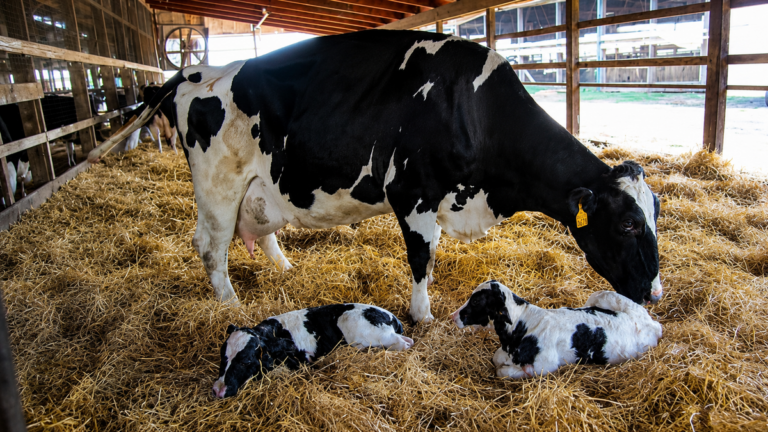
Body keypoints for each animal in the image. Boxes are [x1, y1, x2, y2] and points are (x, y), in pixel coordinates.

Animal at [87, 30, 662, 323]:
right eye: (628, 224)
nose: (654, 293)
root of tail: (192, 72)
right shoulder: (413, 194)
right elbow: (422, 260)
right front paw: (423, 315)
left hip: (259, 186)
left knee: (256, 231)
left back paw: (284, 269)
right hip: (218, 187)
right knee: (210, 245)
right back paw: (230, 304)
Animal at [213, 303, 413, 398]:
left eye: (245, 361)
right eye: (223, 357)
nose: (218, 390)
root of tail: (391, 316)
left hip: (369, 330)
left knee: (403, 344)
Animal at [451, 280, 662, 378]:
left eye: (476, 301)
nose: (453, 316)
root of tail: (651, 323)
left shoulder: (545, 365)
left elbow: (503, 371)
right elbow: (496, 358)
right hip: (601, 296)